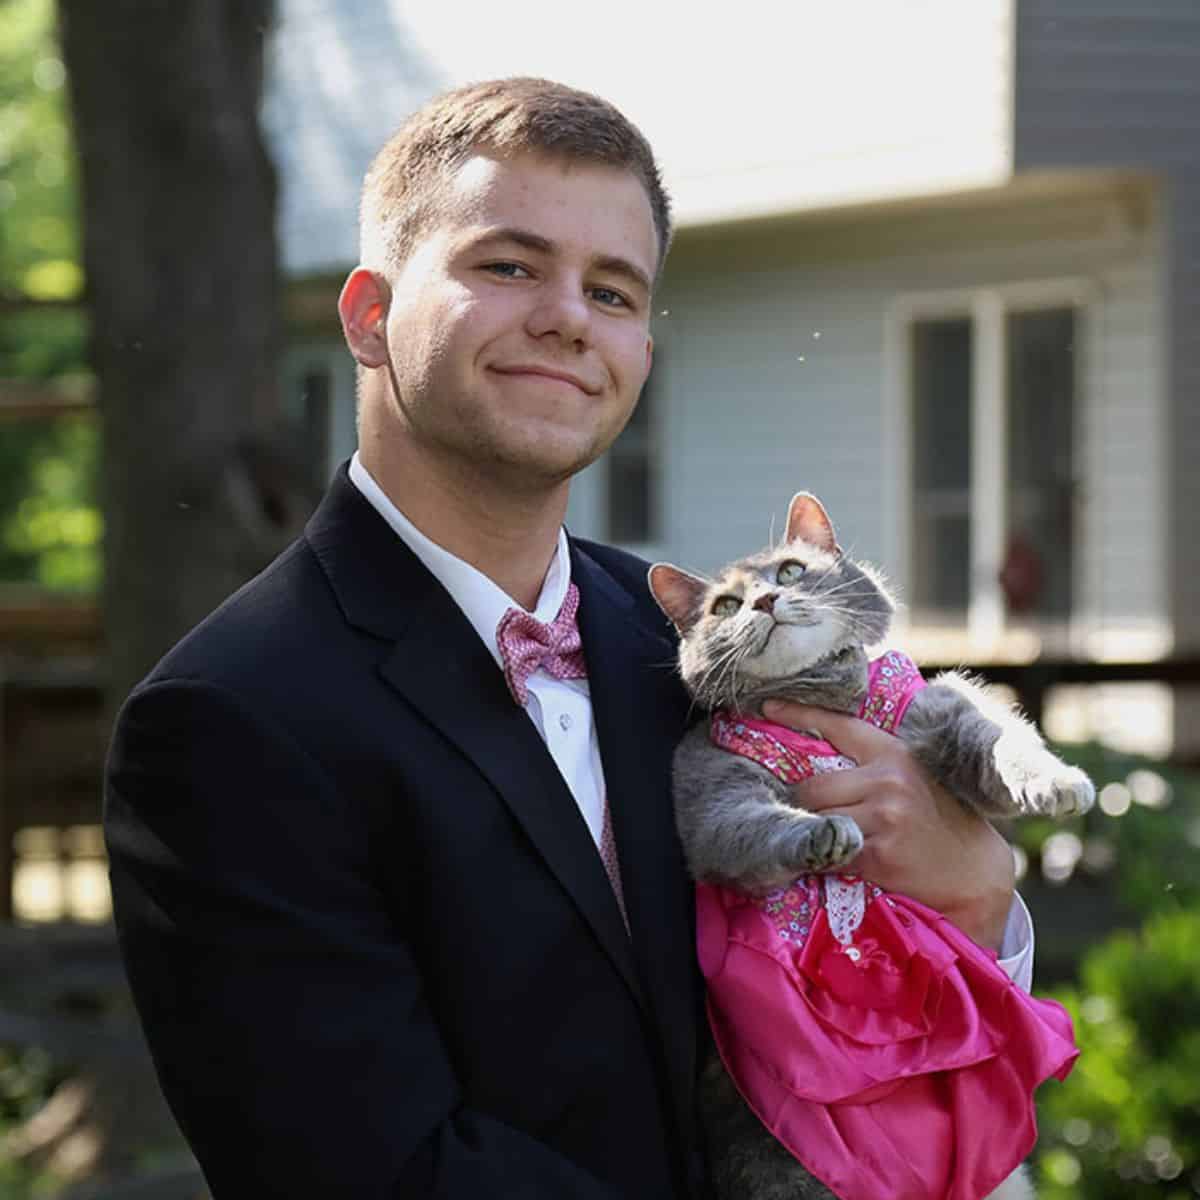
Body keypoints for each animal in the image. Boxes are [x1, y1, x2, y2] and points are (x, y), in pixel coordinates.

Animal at [652, 492, 1094, 1200]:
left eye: (792, 571)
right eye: (725, 606)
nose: (765, 602)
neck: (825, 702)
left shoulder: (939, 706)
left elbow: (1002, 740)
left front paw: (1056, 782)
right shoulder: (710, 798)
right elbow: (754, 824)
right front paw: (824, 832)